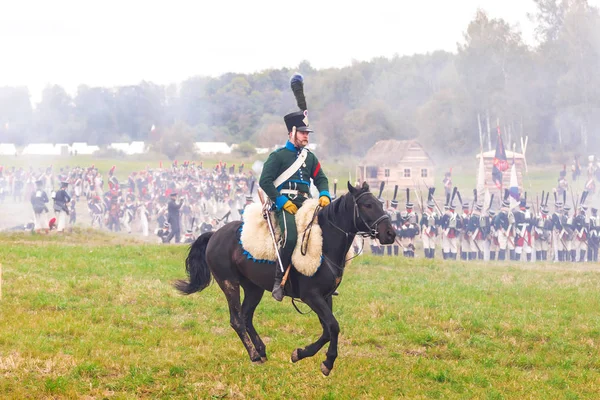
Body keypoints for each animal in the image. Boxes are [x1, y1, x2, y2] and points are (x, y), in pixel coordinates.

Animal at [176, 181, 396, 376]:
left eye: (379, 204)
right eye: (367, 205)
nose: (390, 234)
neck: (325, 244)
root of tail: (215, 234)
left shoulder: (325, 296)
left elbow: (327, 329)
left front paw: (301, 353)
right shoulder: (312, 296)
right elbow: (333, 326)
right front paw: (327, 362)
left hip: (254, 288)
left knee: (246, 317)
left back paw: (261, 351)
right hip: (230, 284)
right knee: (237, 320)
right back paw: (254, 354)